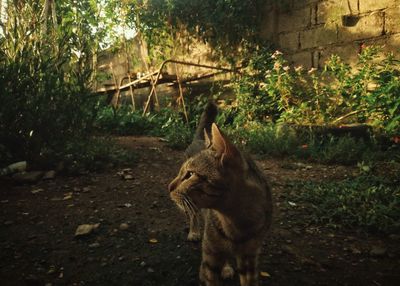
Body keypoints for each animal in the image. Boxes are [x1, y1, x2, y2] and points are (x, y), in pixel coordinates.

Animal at [167, 104, 274, 284]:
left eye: (190, 174)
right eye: (182, 173)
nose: (169, 187)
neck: (237, 221)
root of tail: (200, 140)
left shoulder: (249, 256)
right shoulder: (210, 258)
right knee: (193, 215)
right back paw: (194, 232)